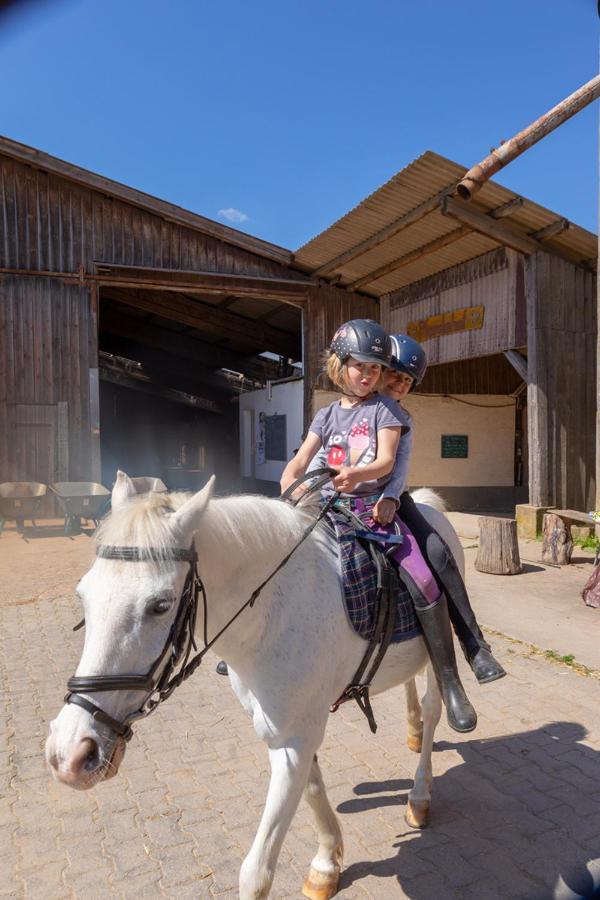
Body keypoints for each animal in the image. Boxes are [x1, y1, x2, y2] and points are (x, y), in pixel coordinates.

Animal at [47, 474, 464, 896]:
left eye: (160, 605)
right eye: (83, 595)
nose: (70, 754)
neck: (272, 613)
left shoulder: (295, 738)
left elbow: (256, 874)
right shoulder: (289, 732)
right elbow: (313, 789)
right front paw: (327, 862)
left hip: (436, 657)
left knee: (434, 708)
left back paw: (420, 793)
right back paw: (412, 731)